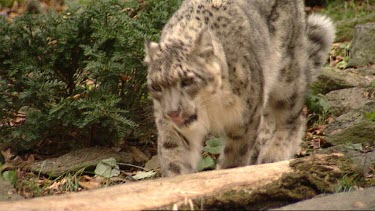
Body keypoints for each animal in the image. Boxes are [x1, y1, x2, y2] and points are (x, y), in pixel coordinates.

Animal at [143, 0, 334, 176]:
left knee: (292, 116)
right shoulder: (169, 125)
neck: (210, 108)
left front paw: (227, 174)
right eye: (156, 86)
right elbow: (174, 158)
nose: (173, 112)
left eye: (187, 81)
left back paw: (273, 154)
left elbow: (235, 155)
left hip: (287, 76)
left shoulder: (245, 118)